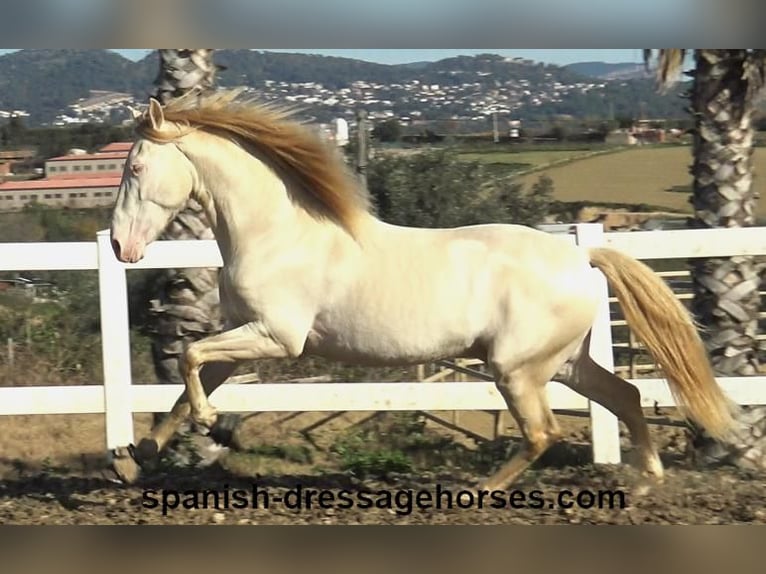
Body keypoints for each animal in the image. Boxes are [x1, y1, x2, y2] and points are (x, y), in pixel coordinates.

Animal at [109, 92, 736, 488]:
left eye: (135, 168)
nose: (119, 246)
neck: (276, 234)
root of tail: (580, 255)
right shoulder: (246, 337)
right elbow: (185, 381)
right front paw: (135, 459)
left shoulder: (277, 338)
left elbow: (189, 358)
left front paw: (209, 423)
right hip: (563, 362)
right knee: (624, 397)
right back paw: (646, 483)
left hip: (517, 369)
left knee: (544, 432)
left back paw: (479, 492)